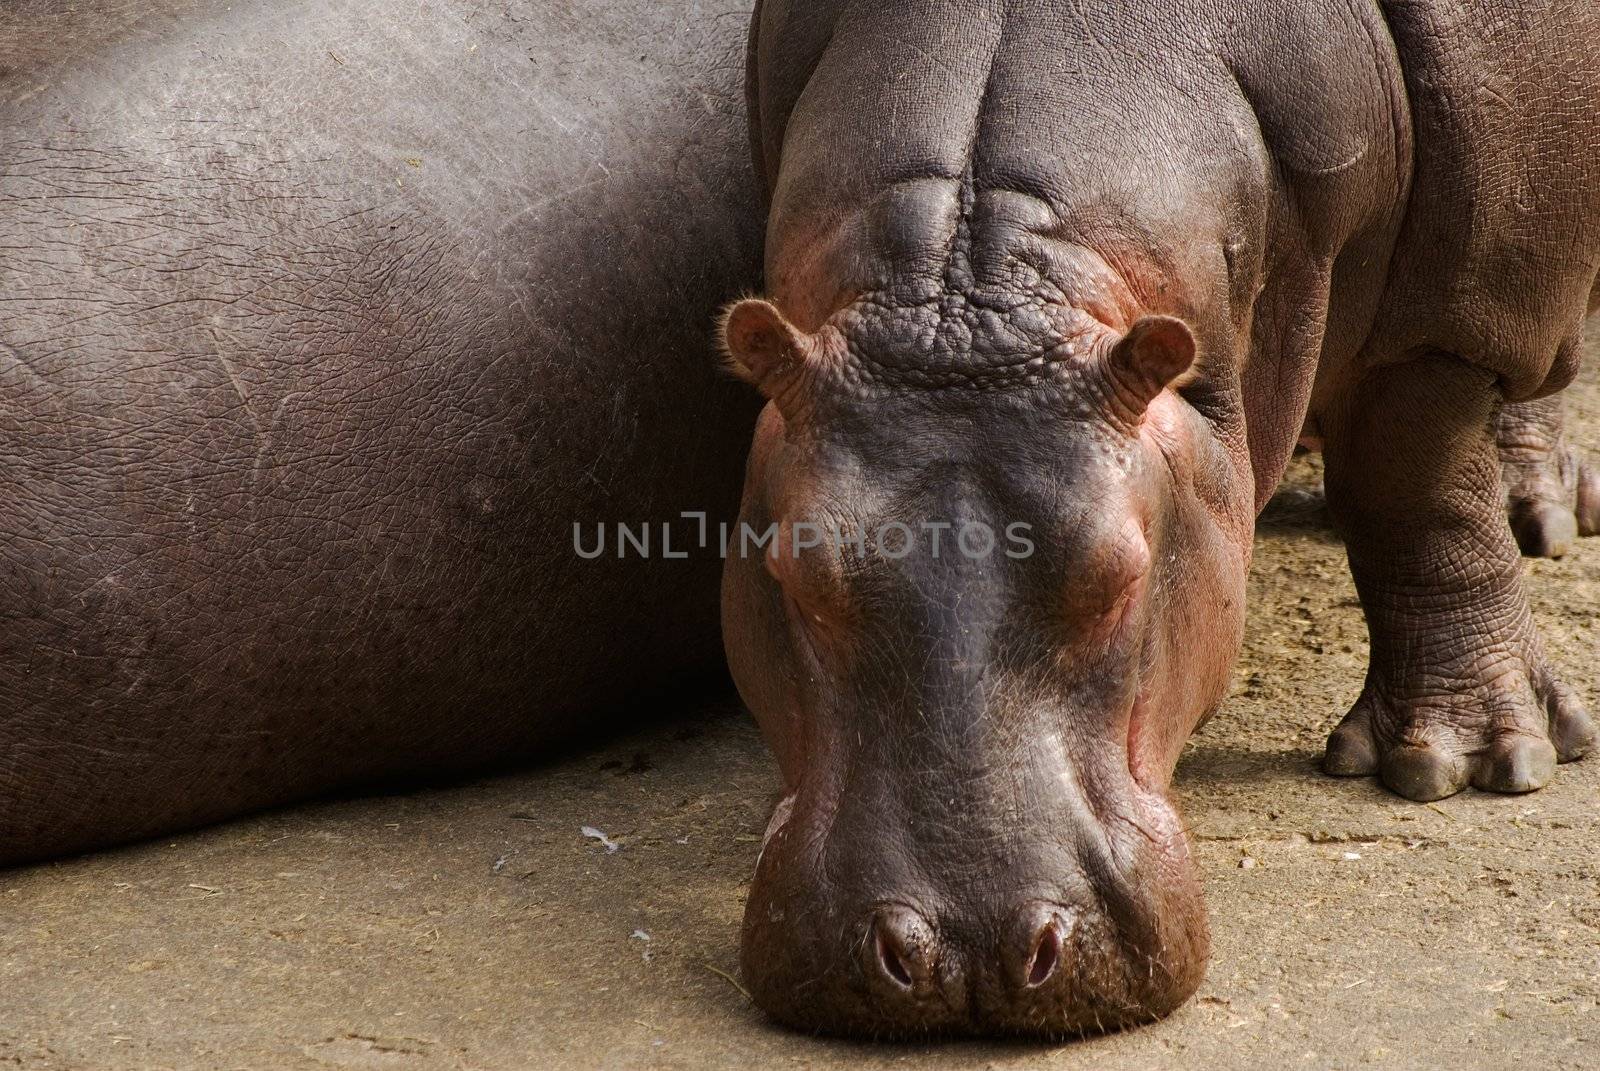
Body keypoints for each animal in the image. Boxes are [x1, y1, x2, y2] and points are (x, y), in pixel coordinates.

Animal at [726, 0, 1600, 1037]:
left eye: (1124, 573)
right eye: (793, 568)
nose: (962, 948)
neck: (972, 295)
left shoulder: (1448, 318)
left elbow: (1421, 492)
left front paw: (1467, 765)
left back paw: (1537, 513)